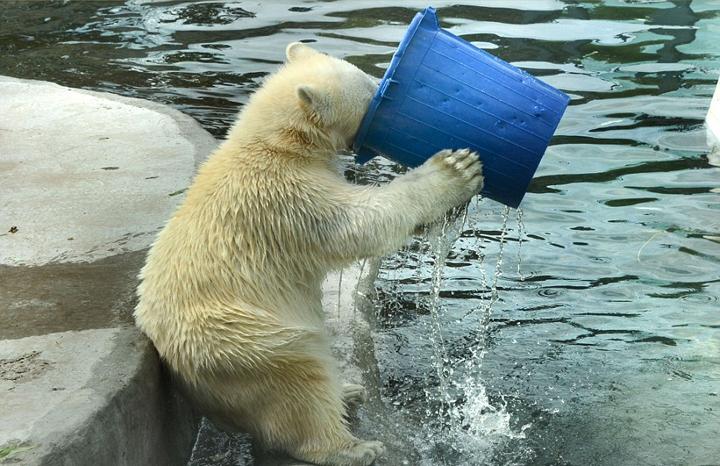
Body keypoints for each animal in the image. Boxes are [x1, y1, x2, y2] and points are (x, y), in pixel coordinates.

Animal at [134, 42, 483, 466]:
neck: (276, 142)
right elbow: (361, 222)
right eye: (371, 90)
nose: (383, 86)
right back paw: (354, 445)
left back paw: (347, 390)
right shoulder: (289, 197)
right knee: (300, 383)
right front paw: (456, 168)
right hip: (247, 342)